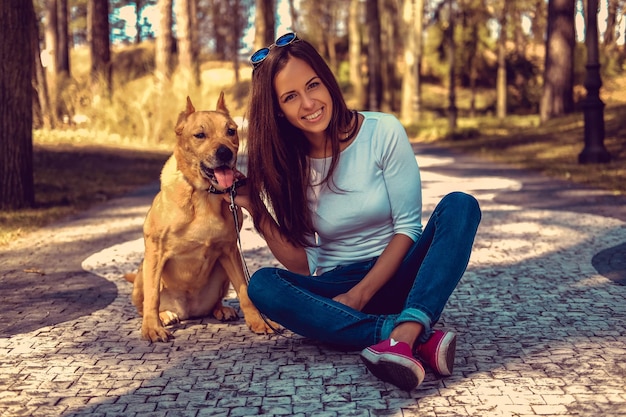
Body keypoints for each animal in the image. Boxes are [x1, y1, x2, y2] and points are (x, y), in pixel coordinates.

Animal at [125, 93, 274, 342]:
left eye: (231, 131)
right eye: (200, 135)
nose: (224, 152)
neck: (204, 194)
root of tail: (189, 311)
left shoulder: (230, 250)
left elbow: (244, 290)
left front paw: (259, 321)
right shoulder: (155, 250)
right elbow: (153, 297)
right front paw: (152, 328)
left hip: (222, 270)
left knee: (215, 302)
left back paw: (221, 309)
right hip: (142, 271)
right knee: (145, 303)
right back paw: (163, 315)